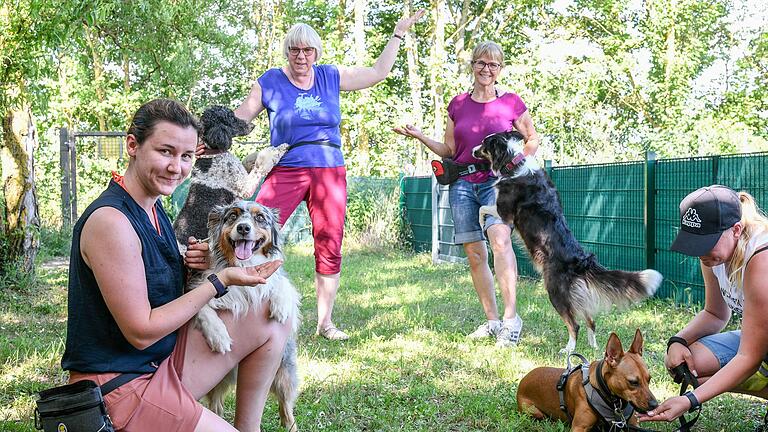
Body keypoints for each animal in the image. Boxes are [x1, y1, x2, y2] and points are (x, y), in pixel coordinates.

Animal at [172, 105, 290, 251]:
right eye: (232, 118)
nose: (252, 125)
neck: (212, 153)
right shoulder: (245, 187)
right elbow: (261, 164)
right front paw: (277, 149)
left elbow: (249, 161)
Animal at [520, 330, 656, 430]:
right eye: (633, 382)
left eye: (649, 379)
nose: (655, 404)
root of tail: (524, 378)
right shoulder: (579, 427)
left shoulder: (632, 425)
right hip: (533, 411)